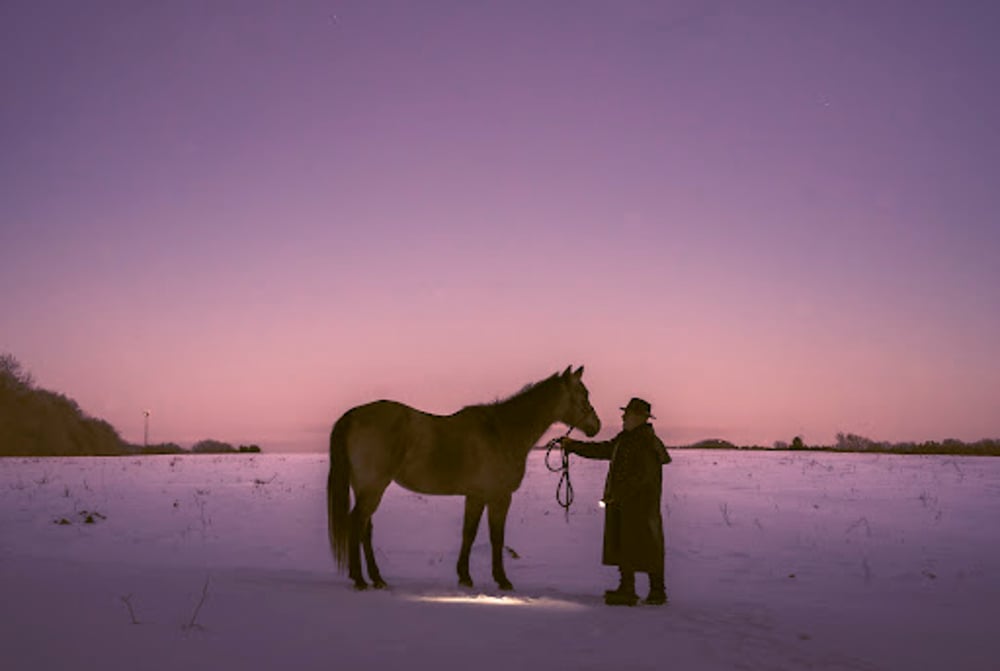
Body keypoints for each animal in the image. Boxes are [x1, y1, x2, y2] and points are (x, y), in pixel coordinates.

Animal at [328, 364, 596, 592]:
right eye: (583, 394)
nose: (596, 426)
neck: (502, 432)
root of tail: (353, 416)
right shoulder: (500, 497)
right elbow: (496, 537)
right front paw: (502, 580)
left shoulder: (476, 496)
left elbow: (469, 533)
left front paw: (465, 577)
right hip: (373, 488)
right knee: (356, 523)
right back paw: (360, 579)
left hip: (365, 487)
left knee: (365, 529)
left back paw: (377, 579)